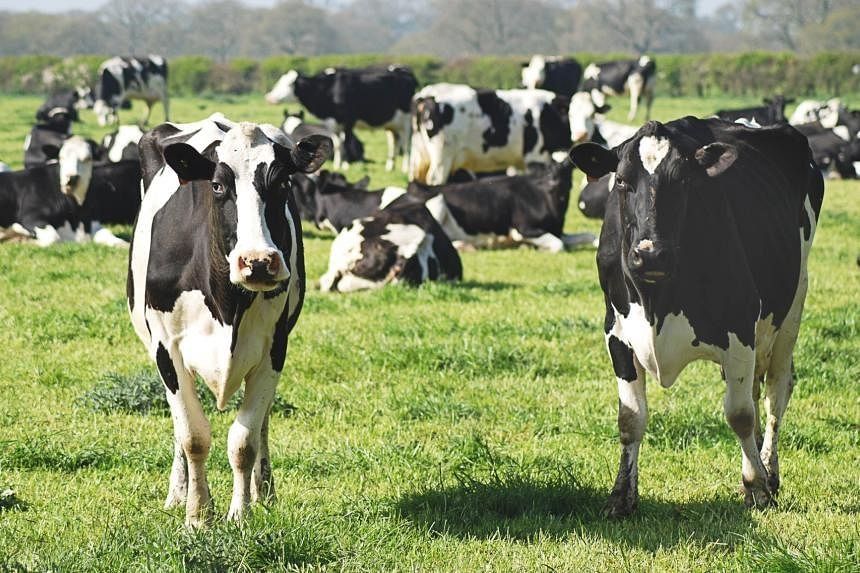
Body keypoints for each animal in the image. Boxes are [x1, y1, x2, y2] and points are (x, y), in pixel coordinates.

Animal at [127, 114, 331, 527]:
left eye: (283, 183)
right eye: (218, 185)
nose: (258, 261)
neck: (227, 303)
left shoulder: (274, 348)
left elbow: (244, 440)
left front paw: (240, 513)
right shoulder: (166, 349)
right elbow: (192, 435)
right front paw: (197, 515)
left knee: (263, 420)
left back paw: (264, 490)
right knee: (179, 427)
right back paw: (178, 492)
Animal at [265, 65, 417, 171]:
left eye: (289, 84)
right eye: (279, 81)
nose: (270, 98)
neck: (329, 88)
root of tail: (406, 72)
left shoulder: (348, 121)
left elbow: (346, 143)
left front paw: (345, 165)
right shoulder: (332, 123)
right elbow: (338, 145)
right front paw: (337, 165)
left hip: (406, 121)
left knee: (406, 144)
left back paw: (405, 168)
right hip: (392, 124)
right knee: (394, 143)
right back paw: (390, 167)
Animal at [406, 154, 594, 252]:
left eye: (566, 168)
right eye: (545, 170)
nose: (554, 182)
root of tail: (419, 185)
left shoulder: (558, 231)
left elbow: (589, 236)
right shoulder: (523, 229)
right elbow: (559, 245)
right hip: (437, 203)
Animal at [568, 116, 823, 517]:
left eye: (684, 180)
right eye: (622, 180)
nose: (650, 254)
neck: (656, 300)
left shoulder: (740, 328)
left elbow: (740, 414)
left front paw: (757, 487)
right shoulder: (617, 334)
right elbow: (630, 418)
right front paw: (621, 496)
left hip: (792, 304)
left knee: (775, 392)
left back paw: (770, 471)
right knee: (756, 391)